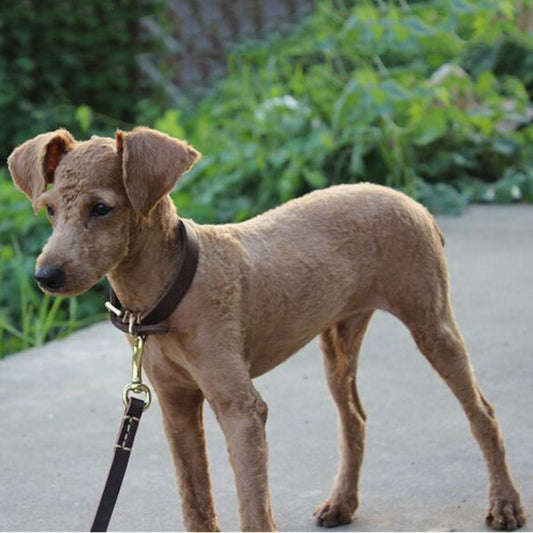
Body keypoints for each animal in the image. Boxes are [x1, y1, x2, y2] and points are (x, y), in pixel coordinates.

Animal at [7, 127, 524, 528]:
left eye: (101, 208)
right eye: (50, 209)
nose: (46, 277)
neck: (171, 289)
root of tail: (410, 200)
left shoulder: (241, 409)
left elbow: (254, 511)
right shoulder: (176, 407)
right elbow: (196, 503)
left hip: (431, 324)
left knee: (483, 414)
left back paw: (505, 505)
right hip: (338, 343)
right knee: (354, 419)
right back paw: (342, 503)